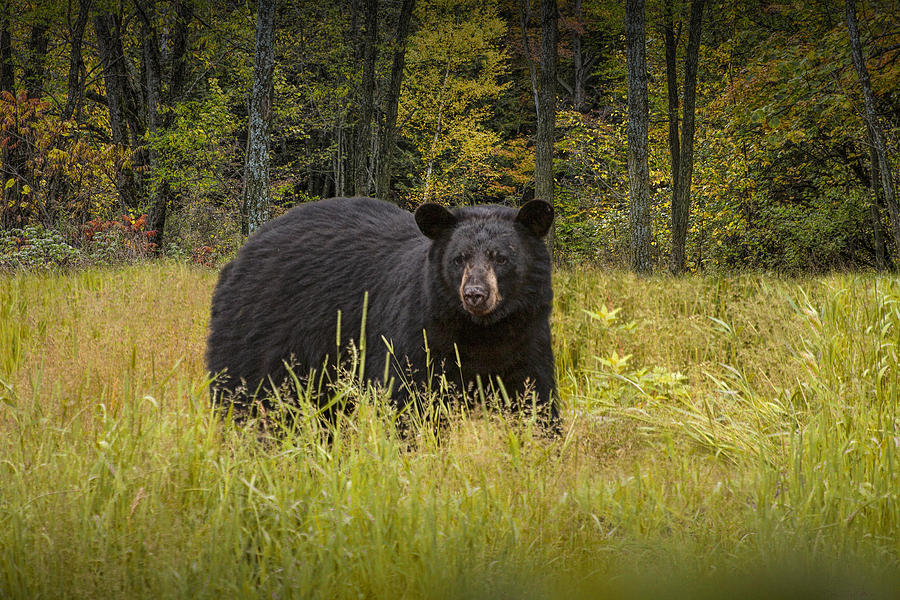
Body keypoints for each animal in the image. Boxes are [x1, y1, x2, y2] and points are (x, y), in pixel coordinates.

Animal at [207, 197, 560, 426]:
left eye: (501, 257)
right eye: (459, 258)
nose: (475, 294)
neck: (481, 332)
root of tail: (243, 253)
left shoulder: (527, 337)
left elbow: (537, 401)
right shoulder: (419, 335)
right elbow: (409, 400)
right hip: (261, 335)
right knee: (248, 397)